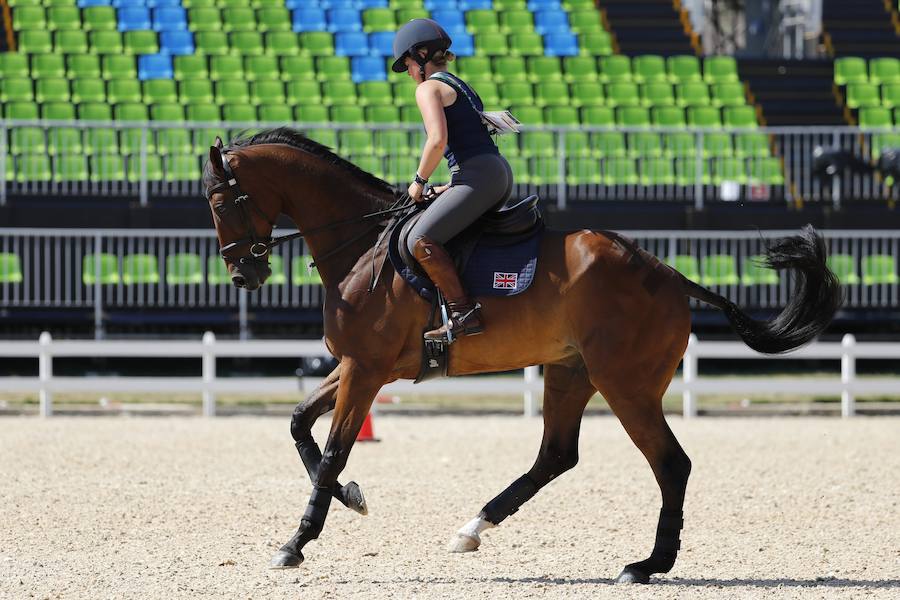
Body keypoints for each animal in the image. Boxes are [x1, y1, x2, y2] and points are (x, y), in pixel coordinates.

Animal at [200, 129, 840, 584]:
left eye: (220, 201)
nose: (243, 275)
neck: (361, 245)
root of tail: (667, 274)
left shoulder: (367, 369)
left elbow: (333, 449)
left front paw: (296, 542)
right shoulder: (362, 366)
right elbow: (299, 426)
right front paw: (350, 498)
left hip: (626, 385)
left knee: (670, 464)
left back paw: (647, 564)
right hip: (569, 372)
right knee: (556, 455)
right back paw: (472, 528)